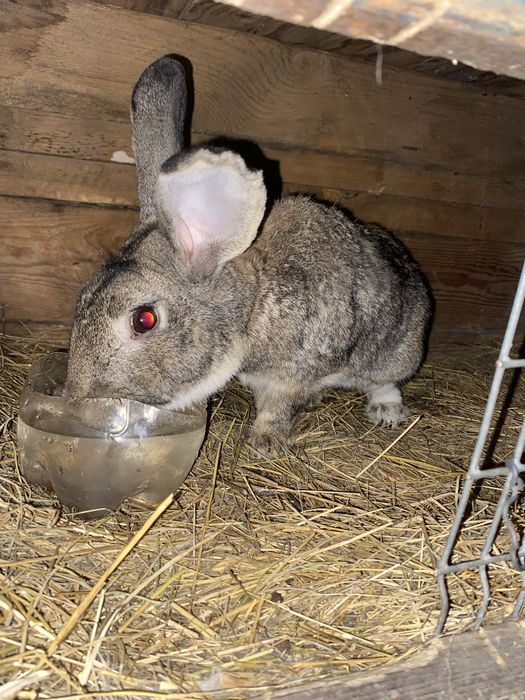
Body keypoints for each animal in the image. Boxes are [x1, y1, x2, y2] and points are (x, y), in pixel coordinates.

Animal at [65, 56, 432, 454]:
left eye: (143, 320)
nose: (77, 398)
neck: (252, 306)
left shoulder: (291, 374)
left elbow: (277, 407)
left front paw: (265, 442)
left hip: (394, 350)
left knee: (387, 379)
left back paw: (386, 410)